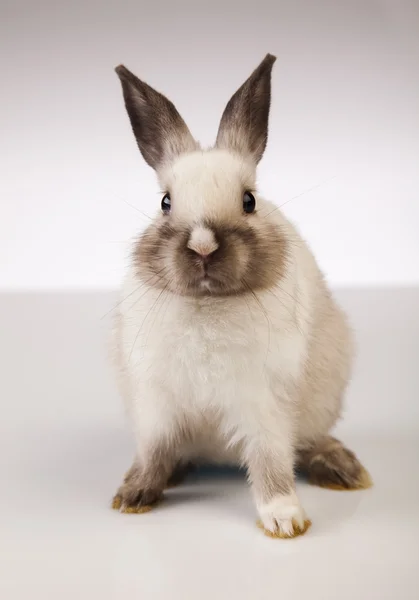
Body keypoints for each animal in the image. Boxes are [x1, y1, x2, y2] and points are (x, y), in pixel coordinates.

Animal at [110, 54, 372, 536]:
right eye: (165, 203)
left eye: (249, 201)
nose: (202, 247)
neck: (208, 304)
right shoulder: (156, 404)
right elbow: (154, 449)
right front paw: (134, 494)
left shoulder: (263, 402)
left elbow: (271, 462)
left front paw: (284, 520)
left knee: (306, 442)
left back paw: (341, 467)